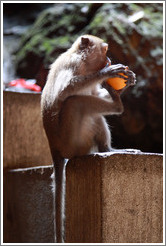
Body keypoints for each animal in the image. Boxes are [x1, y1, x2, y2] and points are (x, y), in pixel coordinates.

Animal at [40, 34, 136, 242]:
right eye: (105, 50)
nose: (108, 60)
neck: (84, 62)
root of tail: (54, 148)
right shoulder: (73, 65)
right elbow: (66, 90)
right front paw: (107, 73)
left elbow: (94, 93)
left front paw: (121, 86)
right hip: (72, 141)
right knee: (75, 102)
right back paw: (117, 107)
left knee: (89, 110)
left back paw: (108, 148)